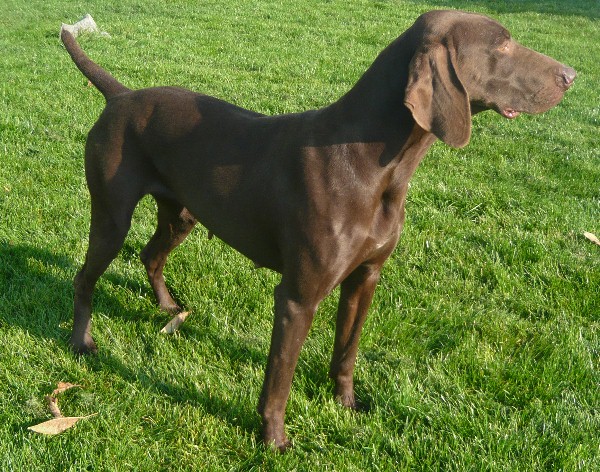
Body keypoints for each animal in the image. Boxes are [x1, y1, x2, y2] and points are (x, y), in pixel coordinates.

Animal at [62, 11, 576, 450]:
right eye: (502, 45)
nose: (572, 75)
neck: (375, 165)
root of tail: (122, 95)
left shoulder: (366, 277)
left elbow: (346, 352)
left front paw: (346, 404)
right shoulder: (298, 297)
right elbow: (279, 379)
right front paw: (273, 440)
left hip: (181, 213)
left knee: (151, 254)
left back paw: (168, 308)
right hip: (111, 216)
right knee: (85, 277)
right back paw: (81, 342)